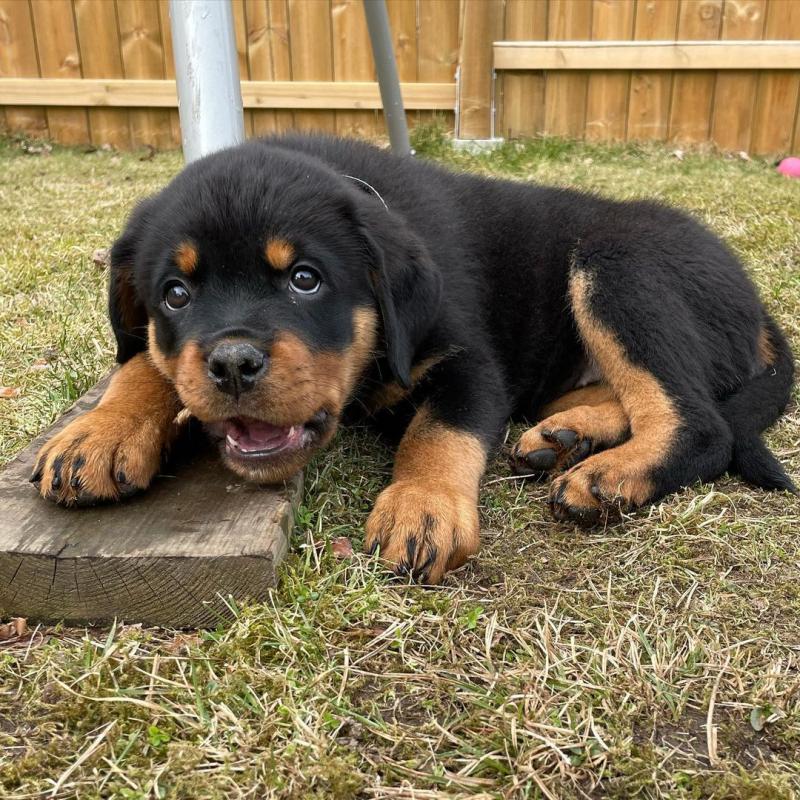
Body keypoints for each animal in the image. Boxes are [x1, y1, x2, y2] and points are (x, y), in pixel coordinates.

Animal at [29, 134, 792, 584]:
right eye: (176, 294)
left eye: (305, 279)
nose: (233, 364)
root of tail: (755, 302)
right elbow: (143, 360)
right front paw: (98, 433)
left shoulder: (472, 361)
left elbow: (439, 430)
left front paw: (422, 508)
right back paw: (565, 434)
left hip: (616, 262)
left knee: (700, 422)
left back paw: (608, 474)